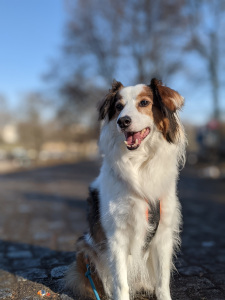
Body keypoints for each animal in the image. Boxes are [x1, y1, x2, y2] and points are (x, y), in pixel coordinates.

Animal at [65, 78, 186, 298]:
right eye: (119, 107)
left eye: (144, 103)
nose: (123, 121)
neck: (139, 162)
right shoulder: (116, 235)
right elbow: (121, 283)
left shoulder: (163, 234)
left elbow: (162, 281)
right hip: (84, 249)